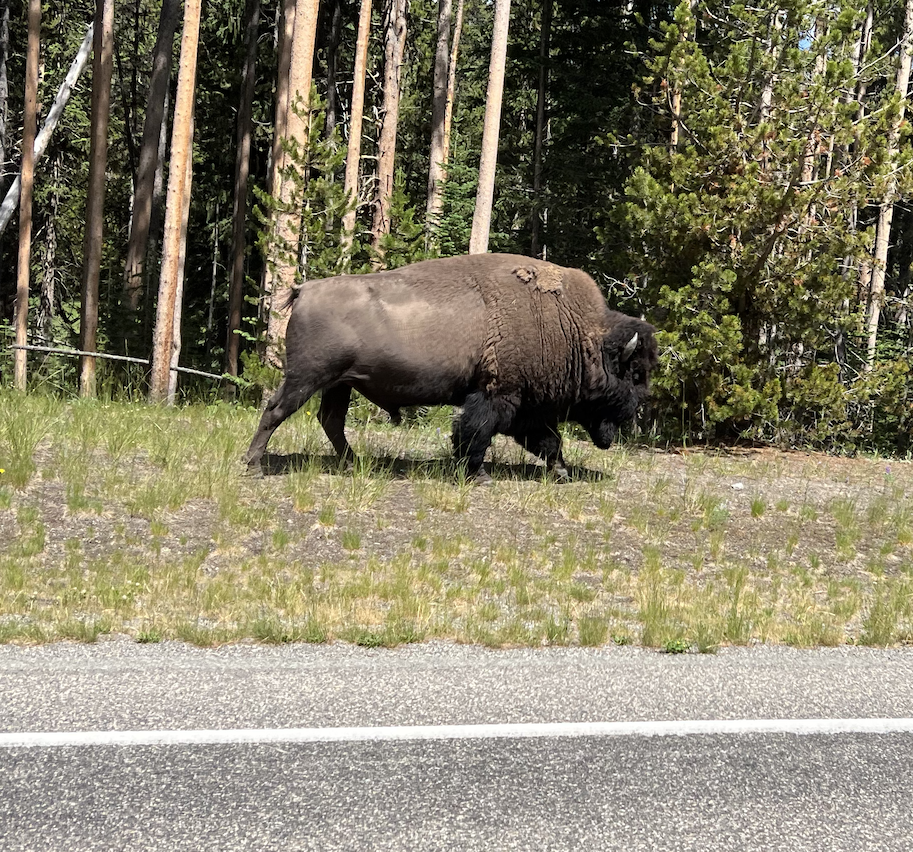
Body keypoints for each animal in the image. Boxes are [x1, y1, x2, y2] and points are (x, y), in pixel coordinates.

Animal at [245, 253, 657, 481]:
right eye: (635, 373)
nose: (634, 413)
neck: (575, 331)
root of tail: (305, 289)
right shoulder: (497, 396)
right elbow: (476, 434)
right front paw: (478, 475)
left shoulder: (525, 406)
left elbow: (548, 442)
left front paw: (561, 472)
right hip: (307, 378)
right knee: (275, 411)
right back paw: (254, 466)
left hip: (339, 384)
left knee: (330, 420)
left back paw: (351, 464)